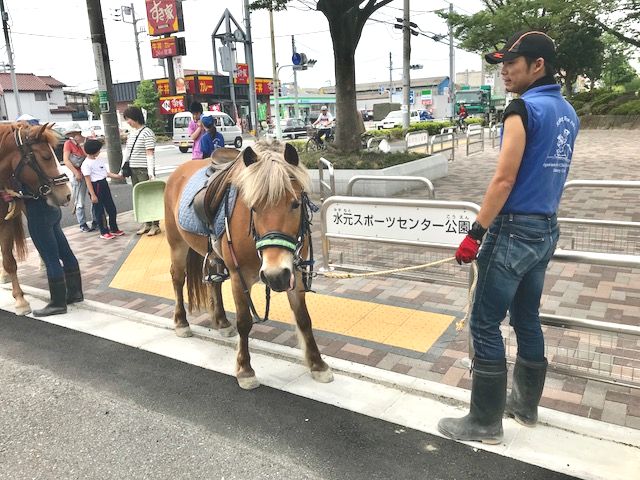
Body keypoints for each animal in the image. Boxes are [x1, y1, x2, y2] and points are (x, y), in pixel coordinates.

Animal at [164, 139, 336, 390]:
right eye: (253, 207)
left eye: (295, 204)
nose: (275, 275)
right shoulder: (239, 276)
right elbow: (245, 322)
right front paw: (245, 369)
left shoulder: (293, 272)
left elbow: (304, 318)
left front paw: (317, 364)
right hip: (177, 243)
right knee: (178, 278)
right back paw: (181, 323)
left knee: (213, 283)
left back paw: (222, 322)